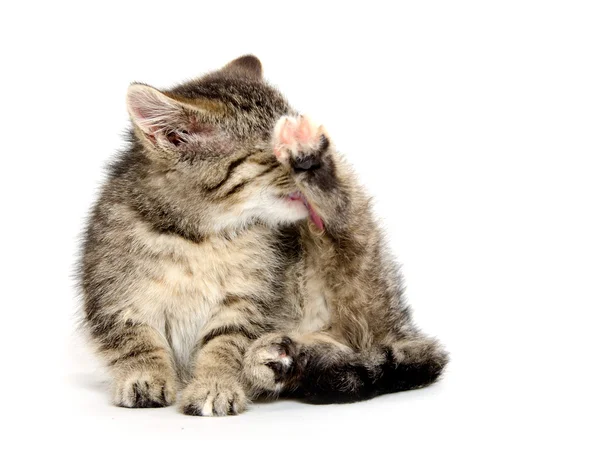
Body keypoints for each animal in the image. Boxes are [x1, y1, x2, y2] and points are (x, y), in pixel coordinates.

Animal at [78, 54, 446, 416]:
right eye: (271, 156)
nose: (296, 158)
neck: (201, 236)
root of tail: (401, 327)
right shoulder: (114, 293)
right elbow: (134, 339)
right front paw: (143, 375)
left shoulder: (249, 301)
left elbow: (226, 342)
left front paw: (214, 384)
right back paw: (288, 360)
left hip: (359, 271)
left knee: (345, 227)